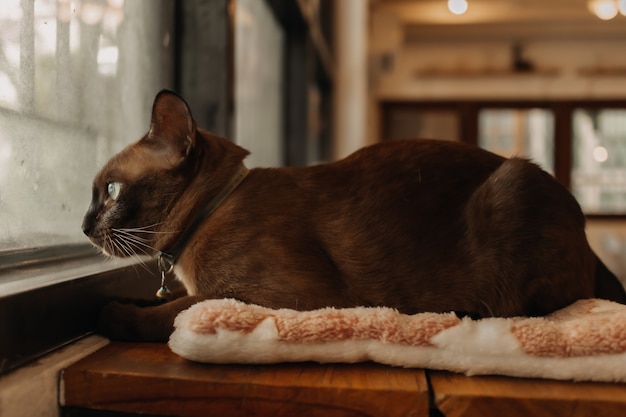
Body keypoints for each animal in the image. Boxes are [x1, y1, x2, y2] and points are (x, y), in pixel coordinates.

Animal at [83, 90, 624, 342]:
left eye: (109, 190)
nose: (84, 227)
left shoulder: (271, 298)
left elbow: (173, 313)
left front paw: (110, 314)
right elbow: (167, 302)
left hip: (512, 187)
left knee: (521, 308)